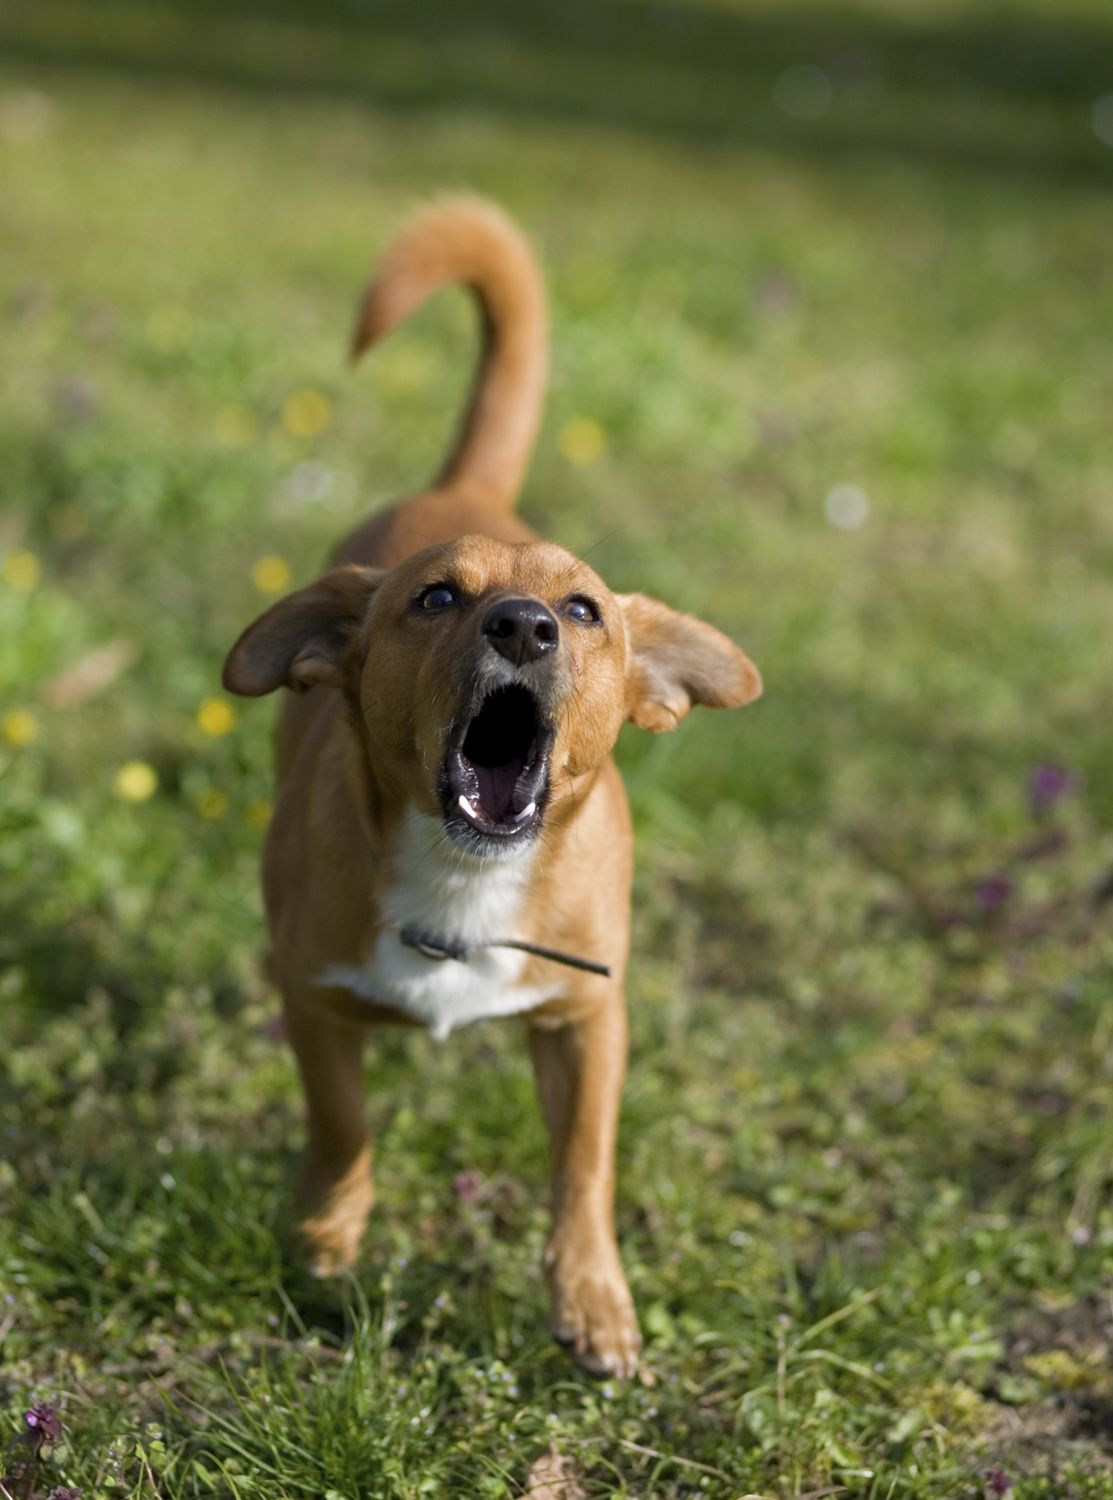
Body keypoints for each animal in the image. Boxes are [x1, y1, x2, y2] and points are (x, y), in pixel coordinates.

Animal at [226, 196, 768, 1374]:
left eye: (583, 611)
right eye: (435, 597)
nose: (521, 625)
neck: (464, 878)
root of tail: (468, 484)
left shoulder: (588, 1022)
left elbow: (583, 1167)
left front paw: (592, 1296)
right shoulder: (315, 996)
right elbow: (342, 1124)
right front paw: (327, 1232)